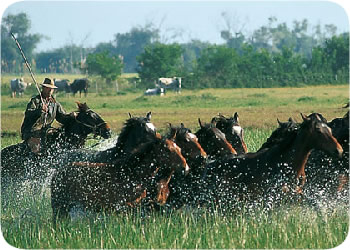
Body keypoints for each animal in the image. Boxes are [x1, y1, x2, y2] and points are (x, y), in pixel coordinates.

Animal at [50, 128, 187, 224]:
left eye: (179, 148)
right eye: (167, 150)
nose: (185, 168)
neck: (132, 174)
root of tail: (57, 172)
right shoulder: (124, 207)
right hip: (60, 206)